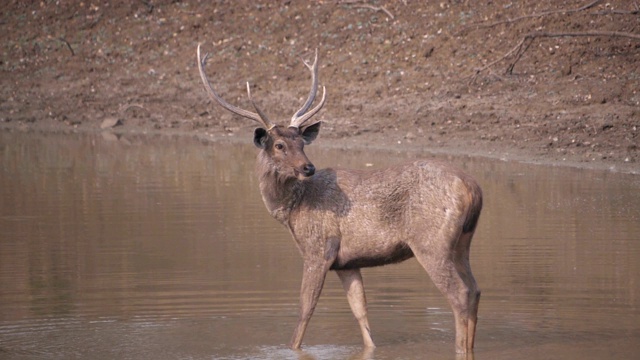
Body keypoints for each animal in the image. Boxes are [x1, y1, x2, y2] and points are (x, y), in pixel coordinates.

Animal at [198, 45, 482, 354]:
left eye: (302, 142)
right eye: (280, 145)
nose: (308, 167)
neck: (292, 211)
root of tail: (473, 190)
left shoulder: (318, 247)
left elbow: (305, 310)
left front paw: (292, 349)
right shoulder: (347, 262)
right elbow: (360, 312)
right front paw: (370, 348)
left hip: (431, 242)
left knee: (460, 294)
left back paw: (461, 349)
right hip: (462, 244)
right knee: (475, 290)